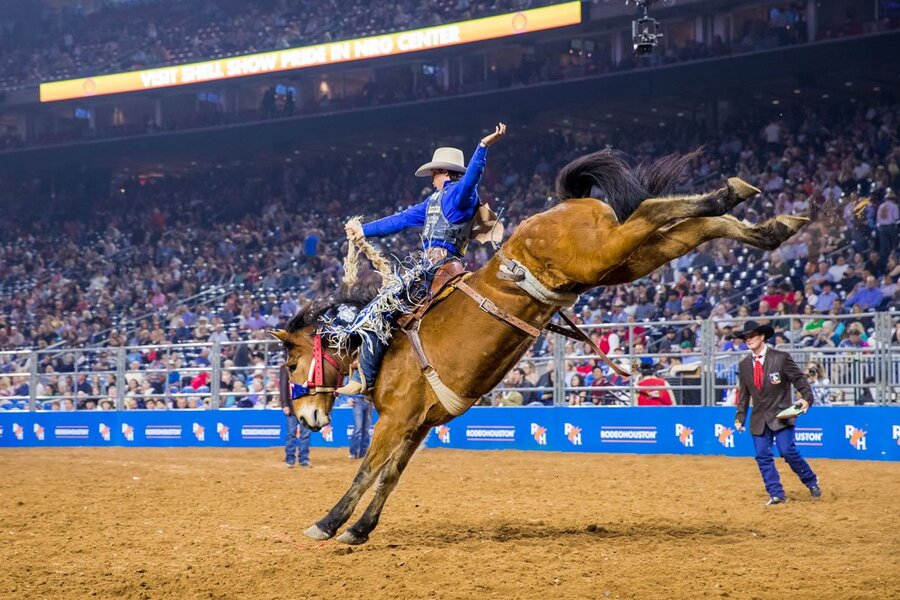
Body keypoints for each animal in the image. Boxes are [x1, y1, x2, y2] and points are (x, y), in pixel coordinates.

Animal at [268, 146, 808, 544]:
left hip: (603, 253)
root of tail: (566, 205)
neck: (378, 341)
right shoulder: (418, 424)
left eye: (292, 362)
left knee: (654, 210)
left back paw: (735, 193)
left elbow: (367, 472)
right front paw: (359, 529)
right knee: (688, 228)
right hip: (620, 261)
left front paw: (328, 524)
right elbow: (389, 476)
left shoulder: (397, 419)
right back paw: (770, 224)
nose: (308, 418)